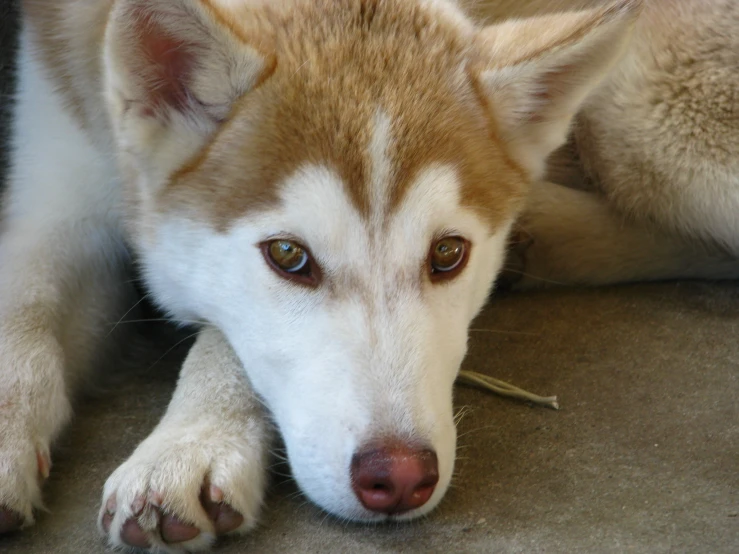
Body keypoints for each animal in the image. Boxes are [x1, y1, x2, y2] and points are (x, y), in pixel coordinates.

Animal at [1, 0, 736, 548]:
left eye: (447, 254)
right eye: (288, 255)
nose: (401, 477)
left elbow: (226, 338)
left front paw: (188, 443)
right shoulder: (58, 187)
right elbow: (23, 307)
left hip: (646, 119)